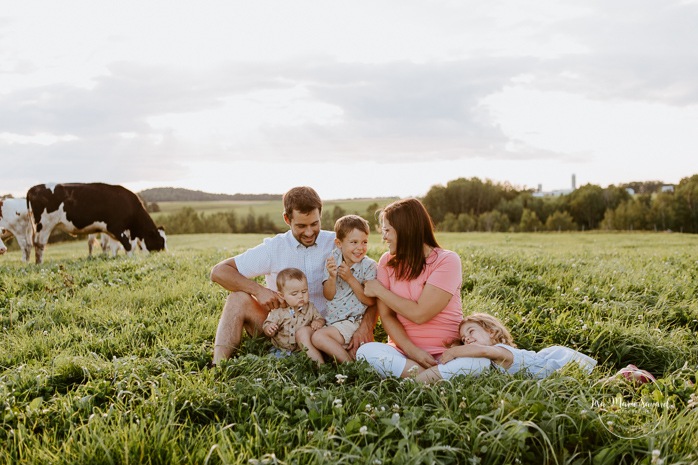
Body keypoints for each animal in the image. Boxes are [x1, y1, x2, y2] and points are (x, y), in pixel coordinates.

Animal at [26, 182, 166, 262]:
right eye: (160, 241)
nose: (165, 254)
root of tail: (34, 189)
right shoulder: (117, 227)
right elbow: (127, 246)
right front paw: (131, 259)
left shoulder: (111, 232)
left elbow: (113, 247)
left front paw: (114, 258)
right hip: (44, 226)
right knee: (40, 245)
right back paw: (39, 264)